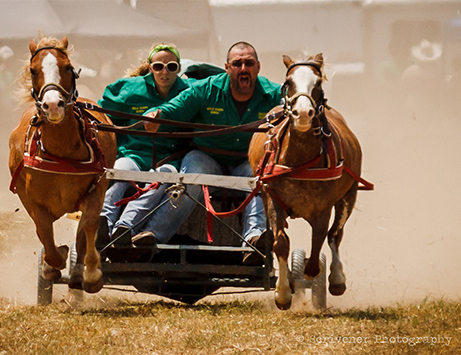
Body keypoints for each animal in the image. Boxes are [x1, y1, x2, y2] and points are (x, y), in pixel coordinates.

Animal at [8, 36, 117, 294]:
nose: (53, 105)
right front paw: (52, 264)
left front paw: (91, 273)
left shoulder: (97, 188)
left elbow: (89, 225)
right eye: (33, 70)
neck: (61, 152)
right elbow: (44, 231)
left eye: (68, 67)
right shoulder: (31, 200)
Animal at [248, 53, 370, 312]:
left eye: (318, 83)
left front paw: (309, 273)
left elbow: (319, 243)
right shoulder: (272, 199)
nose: (303, 113)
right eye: (289, 82)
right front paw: (283, 292)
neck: (300, 160)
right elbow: (280, 242)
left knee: (335, 235)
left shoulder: (323, 205)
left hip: (349, 196)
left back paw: (336, 278)